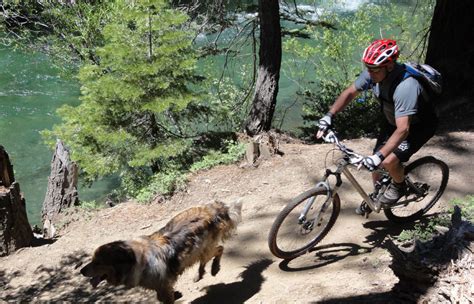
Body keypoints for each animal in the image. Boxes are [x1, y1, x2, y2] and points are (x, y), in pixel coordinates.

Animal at [80, 201, 241, 302]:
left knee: (219, 249)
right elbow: (161, 297)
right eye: (92, 259)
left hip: (204, 249)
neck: (134, 260)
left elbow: (165, 298)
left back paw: (214, 268)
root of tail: (211, 210)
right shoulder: (160, 286)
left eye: (98, 262)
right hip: (197, 251)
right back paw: (200, 274)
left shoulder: (163, 285)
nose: (81, 271)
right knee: (206, 258)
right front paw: (177, 294)